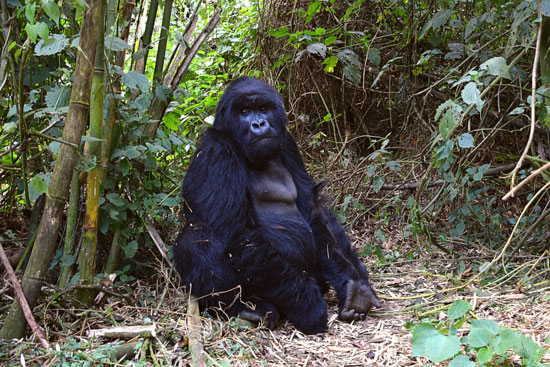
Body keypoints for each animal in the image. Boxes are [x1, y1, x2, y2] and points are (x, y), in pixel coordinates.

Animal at [175, 76, 382, 334]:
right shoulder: (218, 151)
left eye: (263, 108)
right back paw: (246, 307)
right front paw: (309, 307)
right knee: (196, 237)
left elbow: (312, 210)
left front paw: (353, 286)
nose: (259, 124)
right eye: (244, 112)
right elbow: (236, 232)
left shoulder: (288, 143)